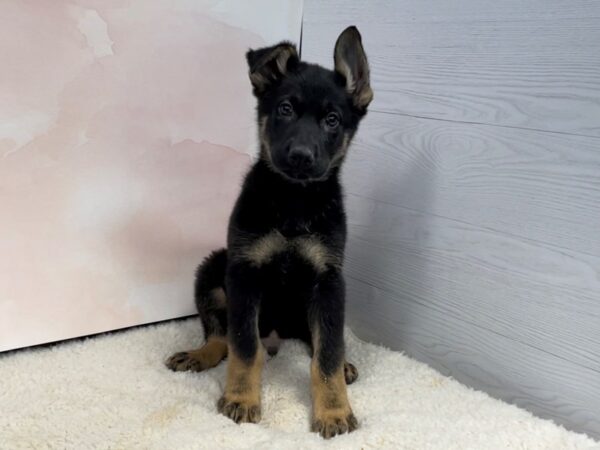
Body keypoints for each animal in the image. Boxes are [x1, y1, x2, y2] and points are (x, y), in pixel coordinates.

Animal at [168, 26, 370, 438]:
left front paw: (334, 411)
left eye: (332, 119)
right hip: (213, 269)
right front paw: (241, 399)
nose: (301, 156)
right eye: (285, 109)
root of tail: (277, 337)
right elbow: (244, 347)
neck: (293, 201)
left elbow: (326, 354)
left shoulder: (328, 281)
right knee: (221, 336)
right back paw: (199, 355)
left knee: (321, 340)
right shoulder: (244, 271)